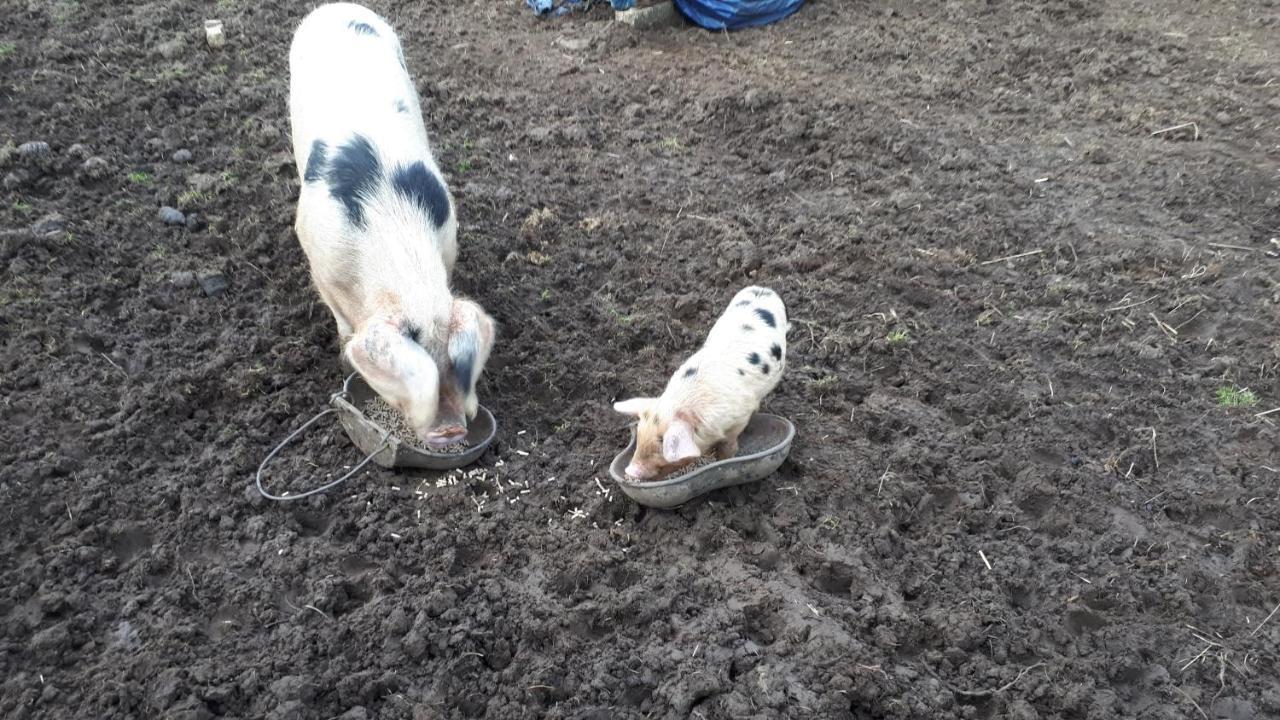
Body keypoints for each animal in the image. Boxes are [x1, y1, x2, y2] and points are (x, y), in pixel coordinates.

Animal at [290, 2, 494, 445]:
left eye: (455, 364)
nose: (451, 430)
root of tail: (337, 7)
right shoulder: (319, 264)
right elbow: (341, 320)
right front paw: (344, 351)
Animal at [611, 283, 783, 479]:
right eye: (639, 437)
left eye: (662, 444)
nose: (629, 470)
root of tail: (763, 289)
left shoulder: (739, 419)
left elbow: (729, 444)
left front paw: (724, 457)